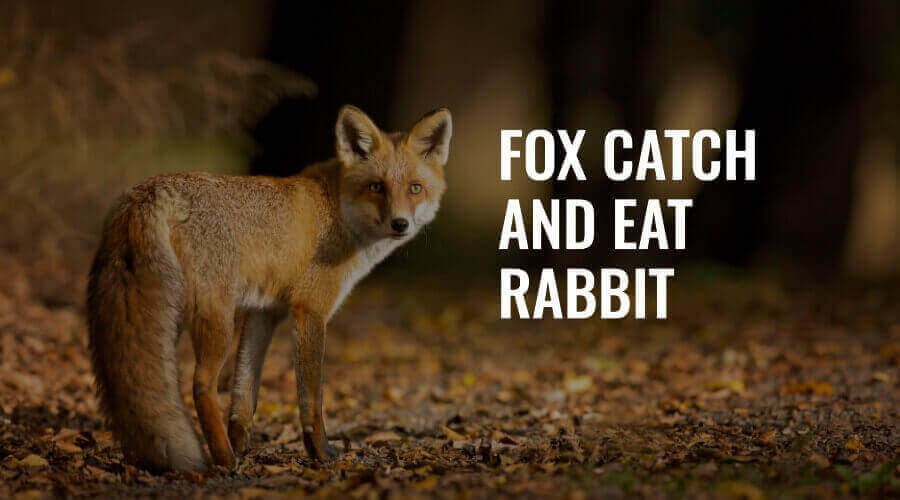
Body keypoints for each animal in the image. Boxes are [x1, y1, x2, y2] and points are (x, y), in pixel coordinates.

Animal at [86, 105, 452, 472]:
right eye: (377, 186)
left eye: (415, 188)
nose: (400, 224)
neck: (337, 212)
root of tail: (149, 190)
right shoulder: (309, 310)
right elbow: (311, 397)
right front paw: (320, 452)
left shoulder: (264, 312)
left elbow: (244, 393)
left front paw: (242, 443)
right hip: (215, 320)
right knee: (200, 385)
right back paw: (224, 459)